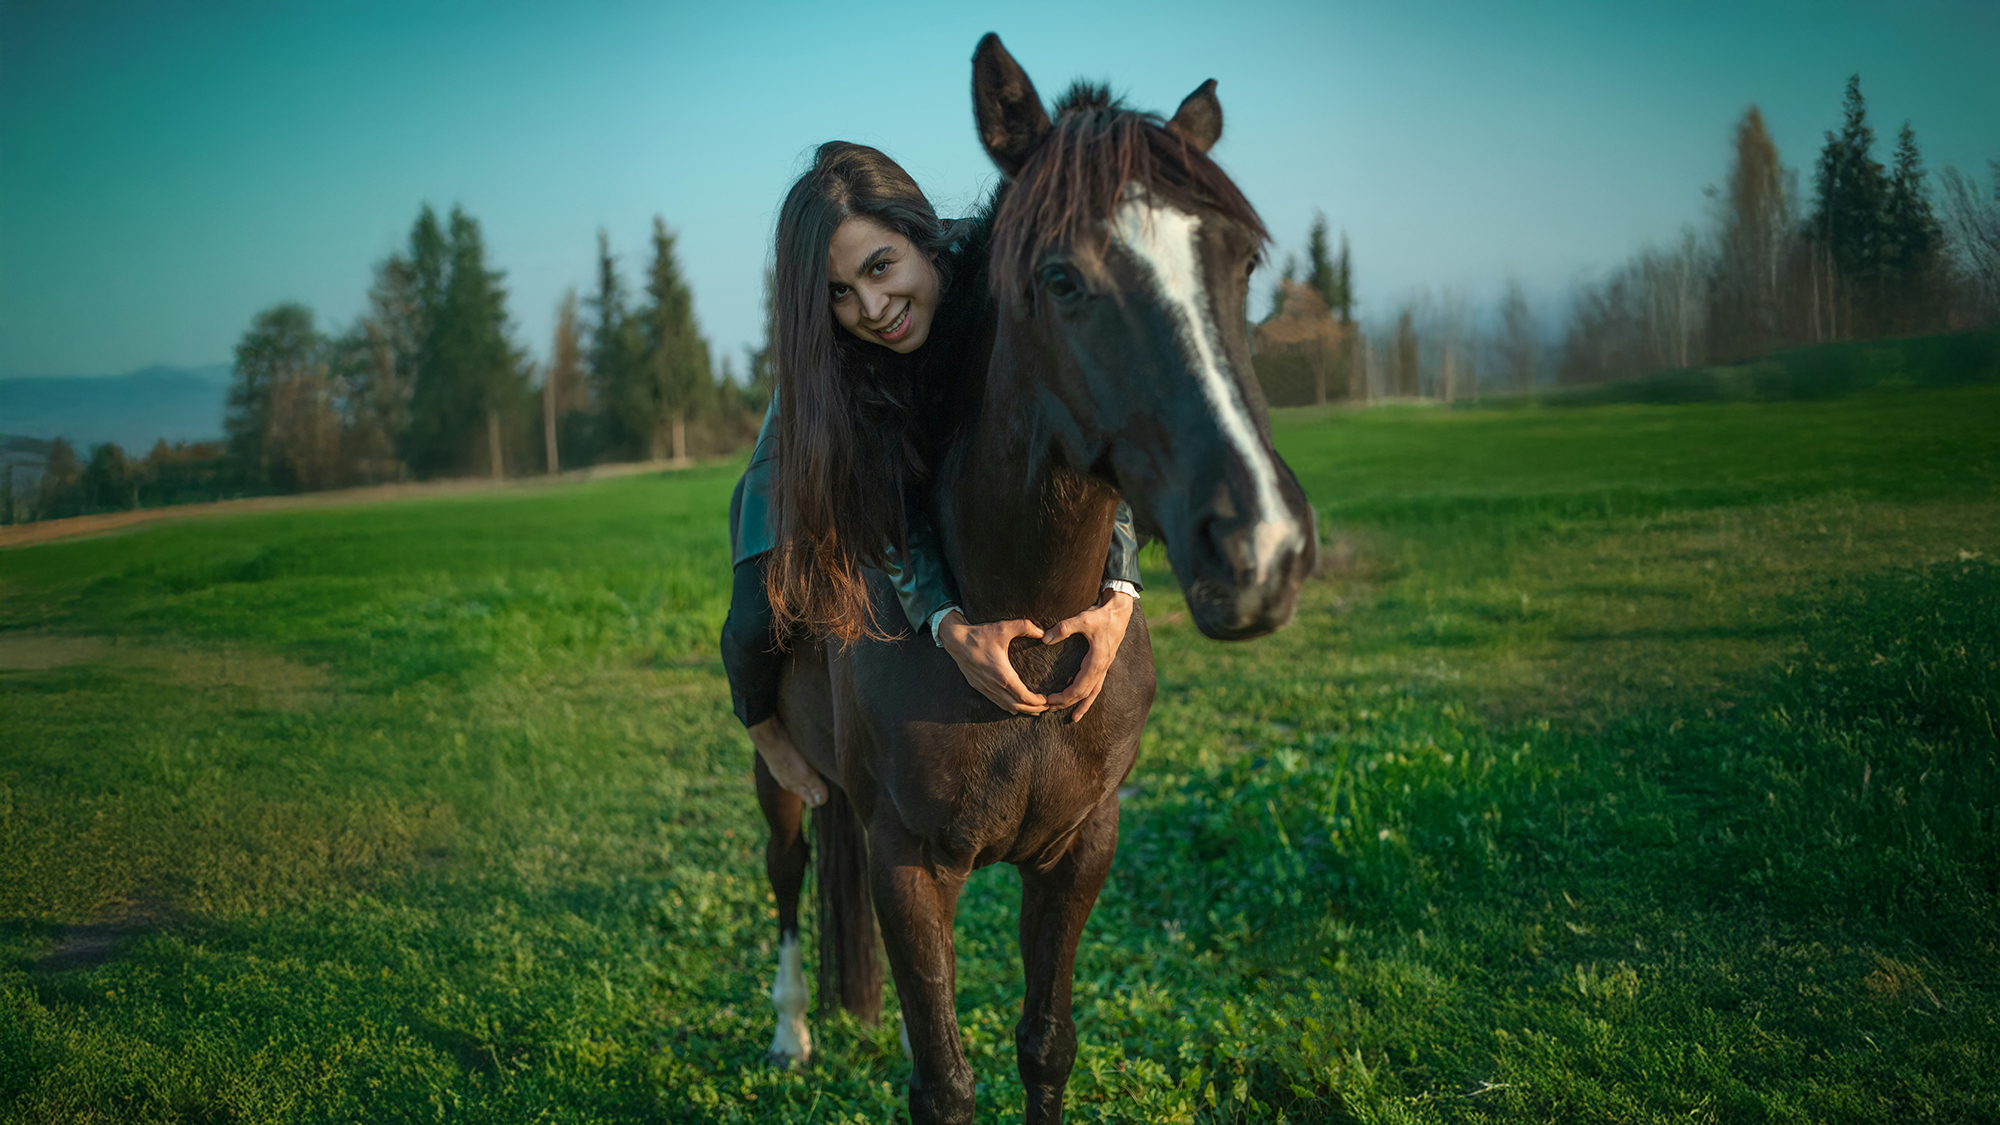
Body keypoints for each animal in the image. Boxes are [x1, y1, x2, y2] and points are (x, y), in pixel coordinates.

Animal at [753, 33, 1318, 1125]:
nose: (1259, 549)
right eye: (1060, 278)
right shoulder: (907, 865)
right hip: (776, 779)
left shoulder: (1077, 852)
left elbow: (1043, 1044)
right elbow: (944, 1084)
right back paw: (791, 1030)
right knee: (789, 877)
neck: (1029, 623)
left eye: (1239, 261)